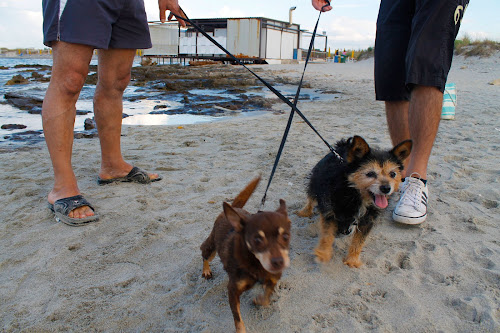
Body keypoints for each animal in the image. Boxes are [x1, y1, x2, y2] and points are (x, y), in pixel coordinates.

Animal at [200, 175, 292, 330]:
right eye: (257, 240)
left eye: (285, 236)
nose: (279, 262)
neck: (256, 263)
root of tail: (233, 209)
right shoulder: (232, 290)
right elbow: (238, 319)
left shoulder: (273, 279)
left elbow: (267, 297)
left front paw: (259, 300)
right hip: (211, 246)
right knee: (204, 254)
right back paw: (206, 270)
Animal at [296, 135, 410, 268]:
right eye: (370, 173)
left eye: (393, 174)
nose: (386, 188)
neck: (354, 194)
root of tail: (342, 146)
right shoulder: (330, 211)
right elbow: (327, 235)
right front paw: (323, 253)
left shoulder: (368, 219)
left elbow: (359, 241)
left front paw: (352, 260)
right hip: (316, 181)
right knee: (311, 197)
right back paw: (304, 212)